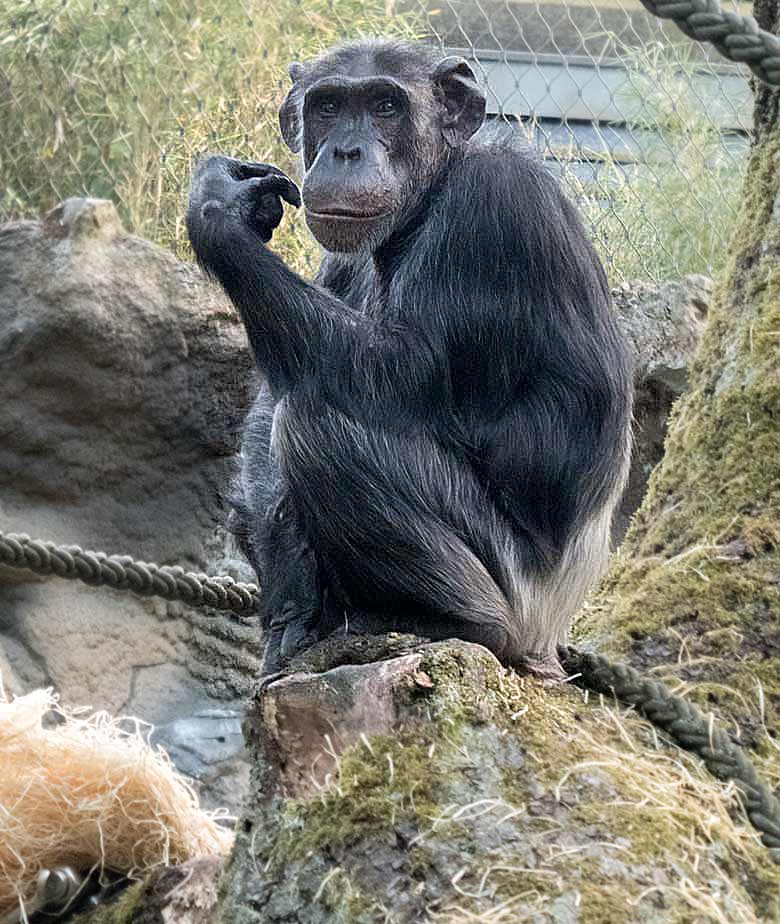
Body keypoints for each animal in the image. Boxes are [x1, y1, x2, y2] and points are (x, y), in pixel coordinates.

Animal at [187, 38, 632, 680]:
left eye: (385, 106)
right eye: (328, 106)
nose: (346, 150)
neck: (429, 193)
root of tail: (551, 638)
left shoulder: (491, 205)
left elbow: (399, 373)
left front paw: (219, 210)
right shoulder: (341, 258)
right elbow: (272, 398)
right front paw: (290, 591)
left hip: (515, 592)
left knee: (318, 424)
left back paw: (448, 620)